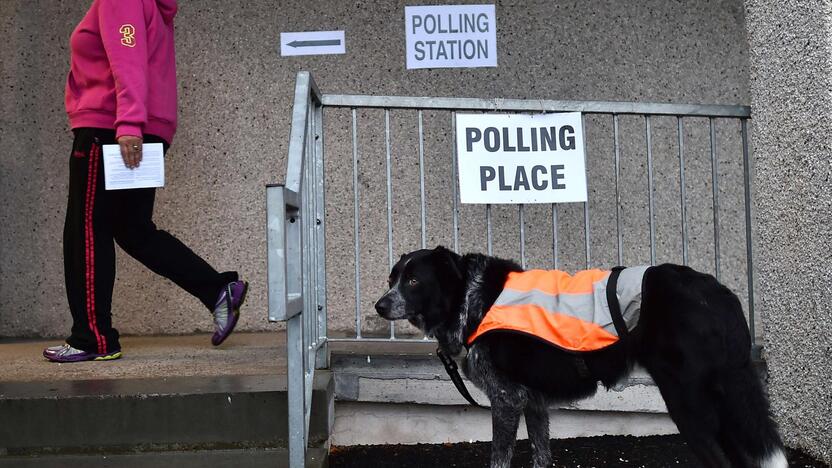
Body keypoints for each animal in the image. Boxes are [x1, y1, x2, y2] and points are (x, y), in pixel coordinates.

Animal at [376, 247, 788, 466]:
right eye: (391, 279)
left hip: (688, 403)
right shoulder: (532, 402)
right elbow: (541, 454)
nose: (380, 305)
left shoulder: (507, 400)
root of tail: (719, 295)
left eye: (414, 280)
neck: (468, 298)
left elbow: (500, 457)